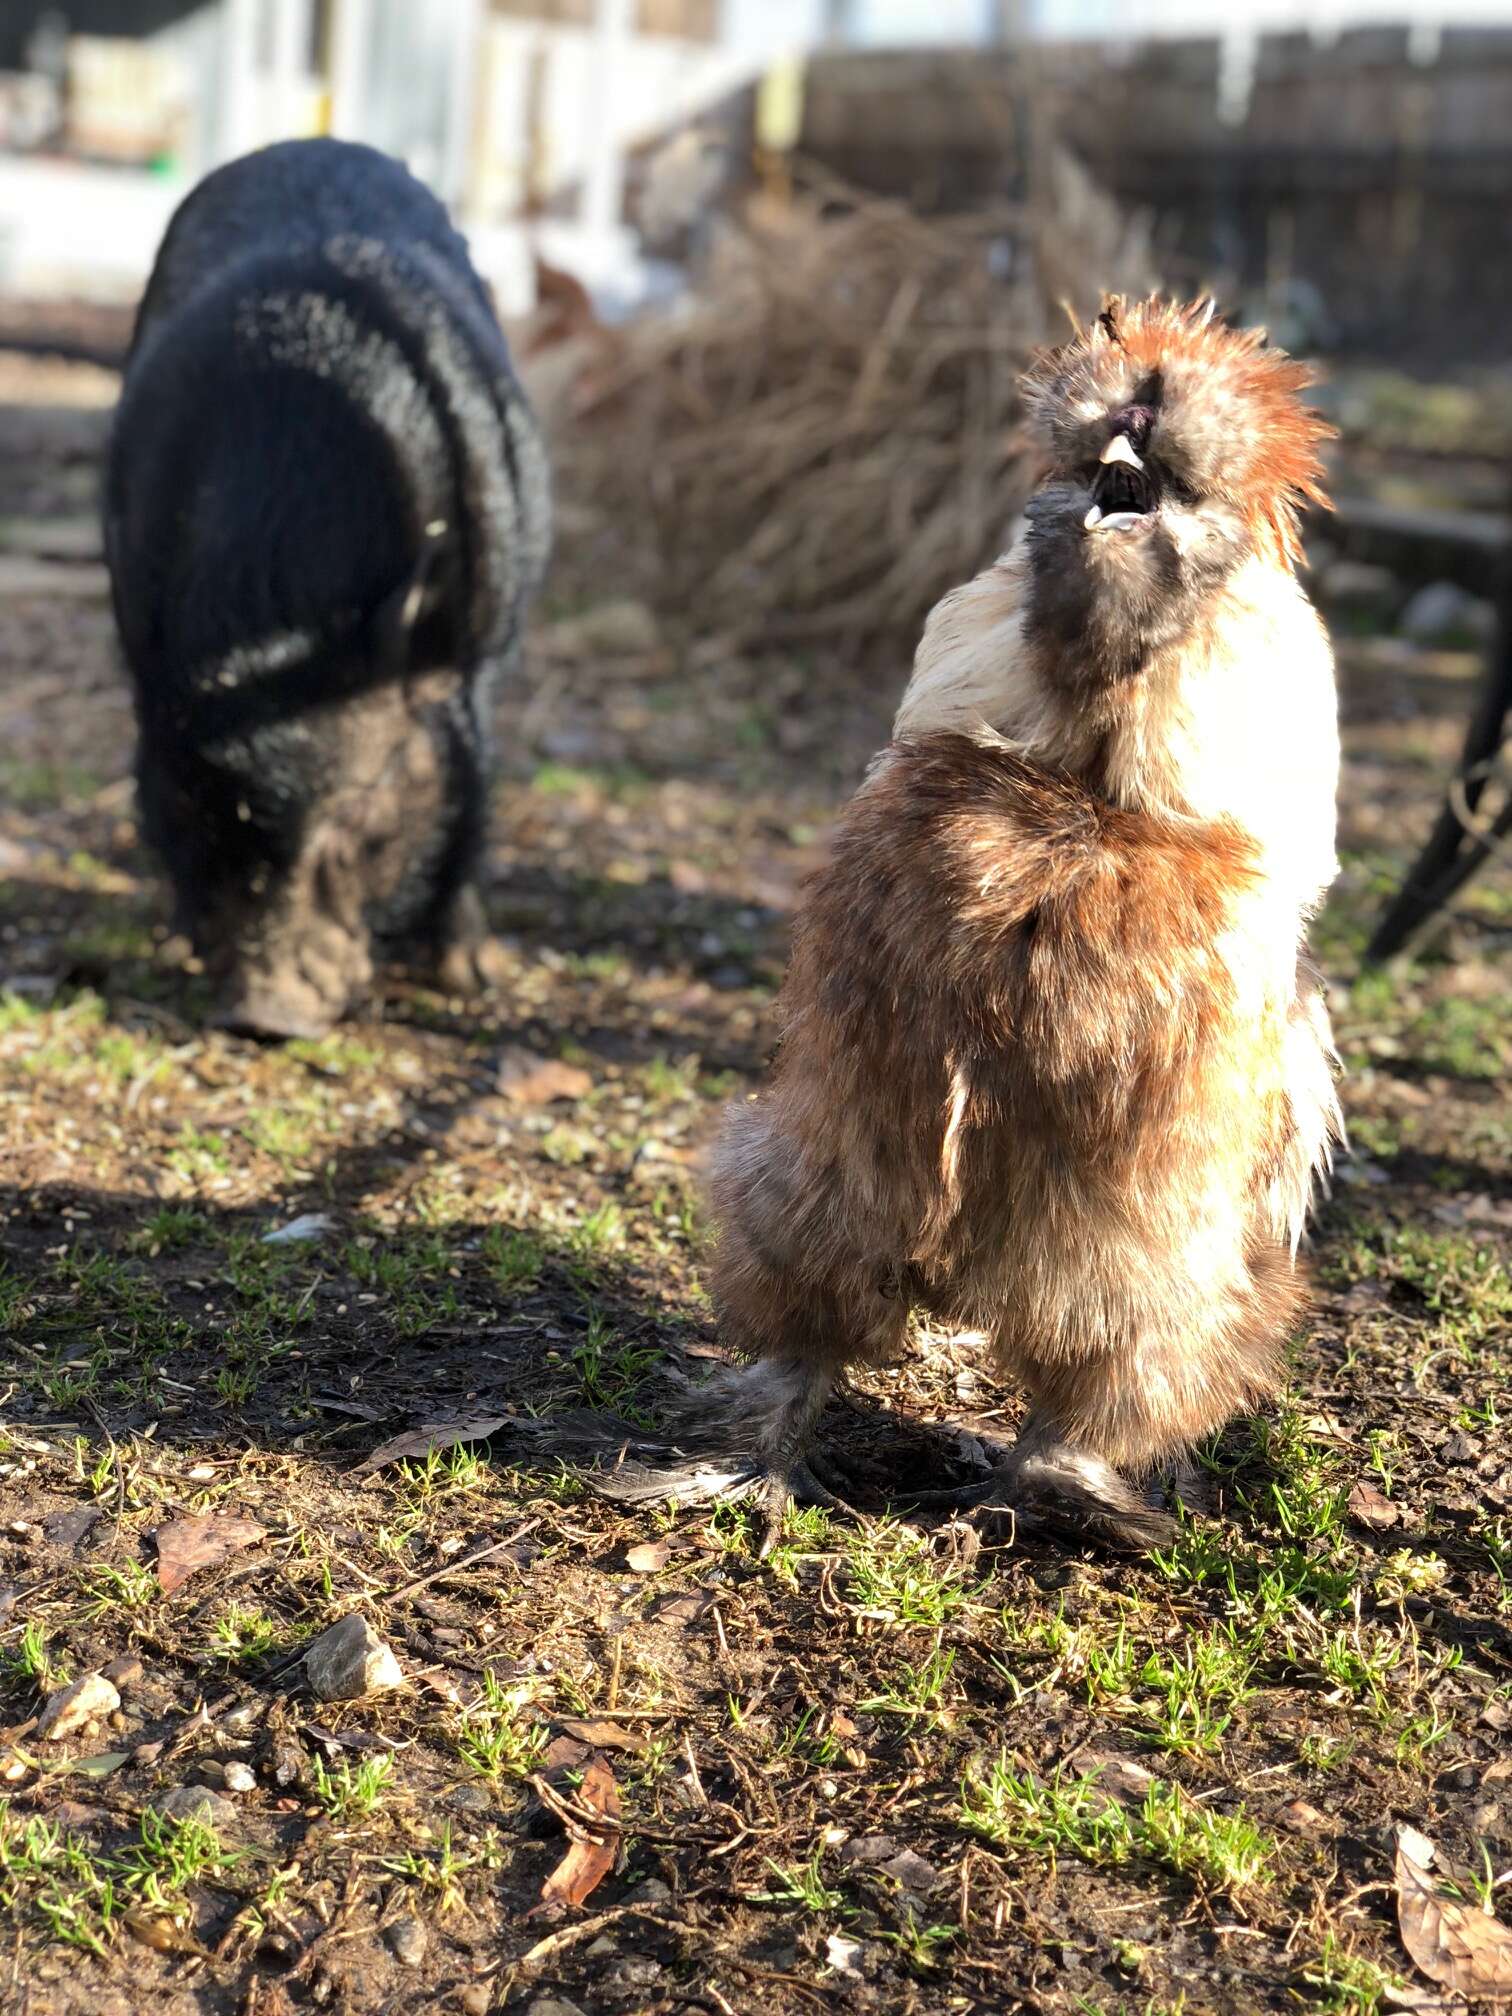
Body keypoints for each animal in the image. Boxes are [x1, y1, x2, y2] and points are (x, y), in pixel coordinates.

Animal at [107, 138, 556, 1040]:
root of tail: (309, 143)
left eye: (356, 821)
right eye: (194, 814)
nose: (261, 1015)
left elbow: (470, 782)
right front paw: (181, 939)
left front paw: (469, 979)